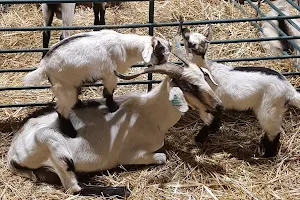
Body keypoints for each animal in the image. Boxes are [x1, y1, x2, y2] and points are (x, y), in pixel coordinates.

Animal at [7, 45, 223, 198]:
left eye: (204, 77)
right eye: (189, 86)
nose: (219, 106)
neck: (150, 113)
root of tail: (13, 153)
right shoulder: (130, 155)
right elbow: (162, 156)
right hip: (52, 144)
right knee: (73, 188)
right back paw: (119, 189)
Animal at [23, 29, 171, 138]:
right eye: (160, 50)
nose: (166, 60)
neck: (125, 47)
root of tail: (44, 67)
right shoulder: (111, 75)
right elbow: (109, 91)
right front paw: (113, 107)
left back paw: (84, 104)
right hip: (64, 87)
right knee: (61, 109)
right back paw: (71, 132)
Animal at [178, 18, 300, 157]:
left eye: (189, 41)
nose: (184, 29)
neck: (205, 69)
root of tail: (289, 89)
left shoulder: (208, 103)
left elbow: (207, 122)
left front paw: (198, 140)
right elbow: (214, 120)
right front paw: (214, 130)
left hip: (270, 109)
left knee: (274, 132)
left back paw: (267, 154)